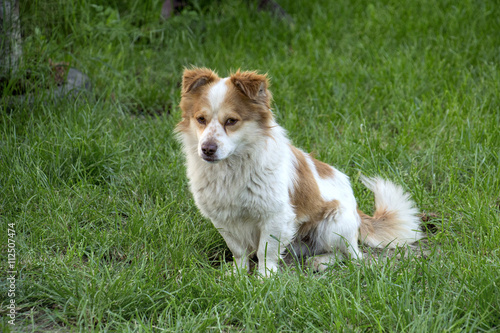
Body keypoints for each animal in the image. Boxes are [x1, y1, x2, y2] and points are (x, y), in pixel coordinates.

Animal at [175, 67, 422, 274]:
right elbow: (239, 250)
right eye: (201, 119)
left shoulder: (276, 216)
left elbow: (266, 251)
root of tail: (359, 213)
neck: (231, 169)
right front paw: (238, 275)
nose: (207, 149)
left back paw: (320, 262)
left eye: (231, 121)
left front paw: (264, 279)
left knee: (350, 255)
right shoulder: (223, 218)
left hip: (333, 225)